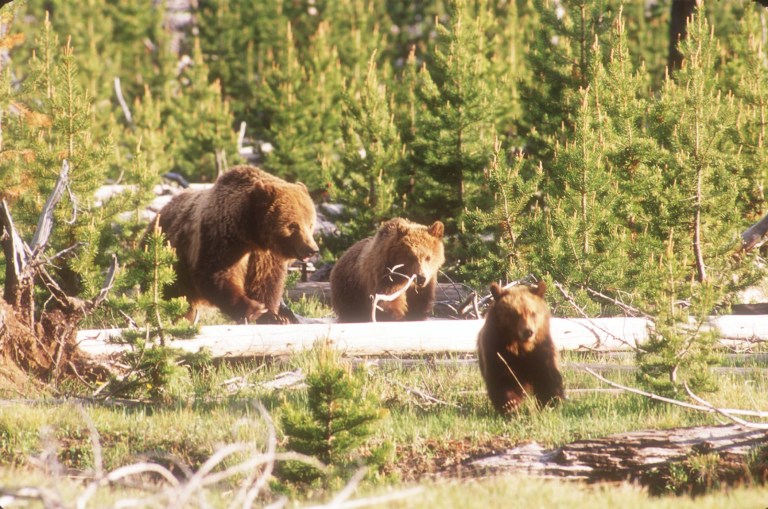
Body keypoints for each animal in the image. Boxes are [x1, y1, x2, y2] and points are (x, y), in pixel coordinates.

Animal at [151, 165, 319, 324]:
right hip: (172, 263)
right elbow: (217, 274)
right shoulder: (223, 238)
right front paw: (255, 309)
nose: (312, 249)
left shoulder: (265, 256)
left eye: (310, 224)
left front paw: (275, 316)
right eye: (293, 226)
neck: (252, 235)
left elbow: (266, 283)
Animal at [476, 281, 564, 414]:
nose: (528, 332)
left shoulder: (541, 350)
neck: (521, 348)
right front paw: (511, 406)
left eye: (533, 313)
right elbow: (502, 380)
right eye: (515, 314)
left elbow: (548, 377)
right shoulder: (498, 352)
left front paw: (550, 402)